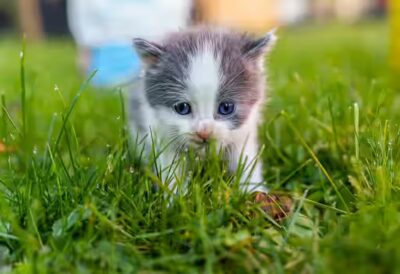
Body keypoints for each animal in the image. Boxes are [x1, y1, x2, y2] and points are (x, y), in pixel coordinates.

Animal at [130, 26, 276, 195]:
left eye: (226, 107)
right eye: (182, 108)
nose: (204, 132)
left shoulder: (244, 133)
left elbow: (246, 161)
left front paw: (253, 192)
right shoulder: (161, 134)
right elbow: (171, 169)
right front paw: (174, 198)